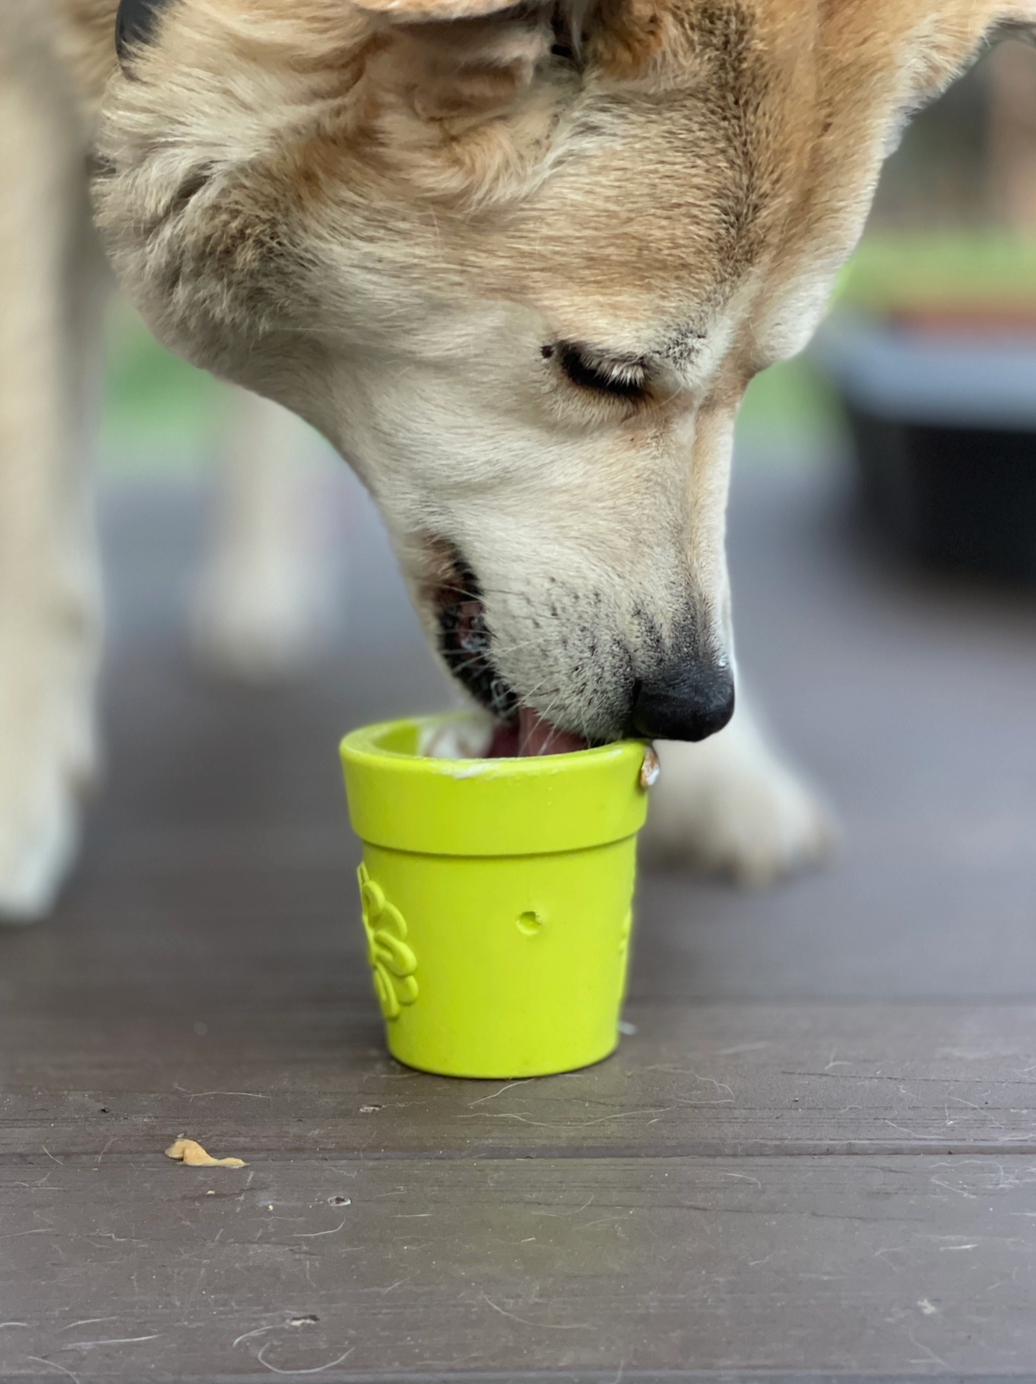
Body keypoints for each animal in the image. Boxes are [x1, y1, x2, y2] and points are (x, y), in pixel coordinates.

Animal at [2, 5, 1029, 924]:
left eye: (761, 377)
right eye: (602, 372)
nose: (696, 706)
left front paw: (724, 775)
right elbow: (33, 487)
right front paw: (22, 786)